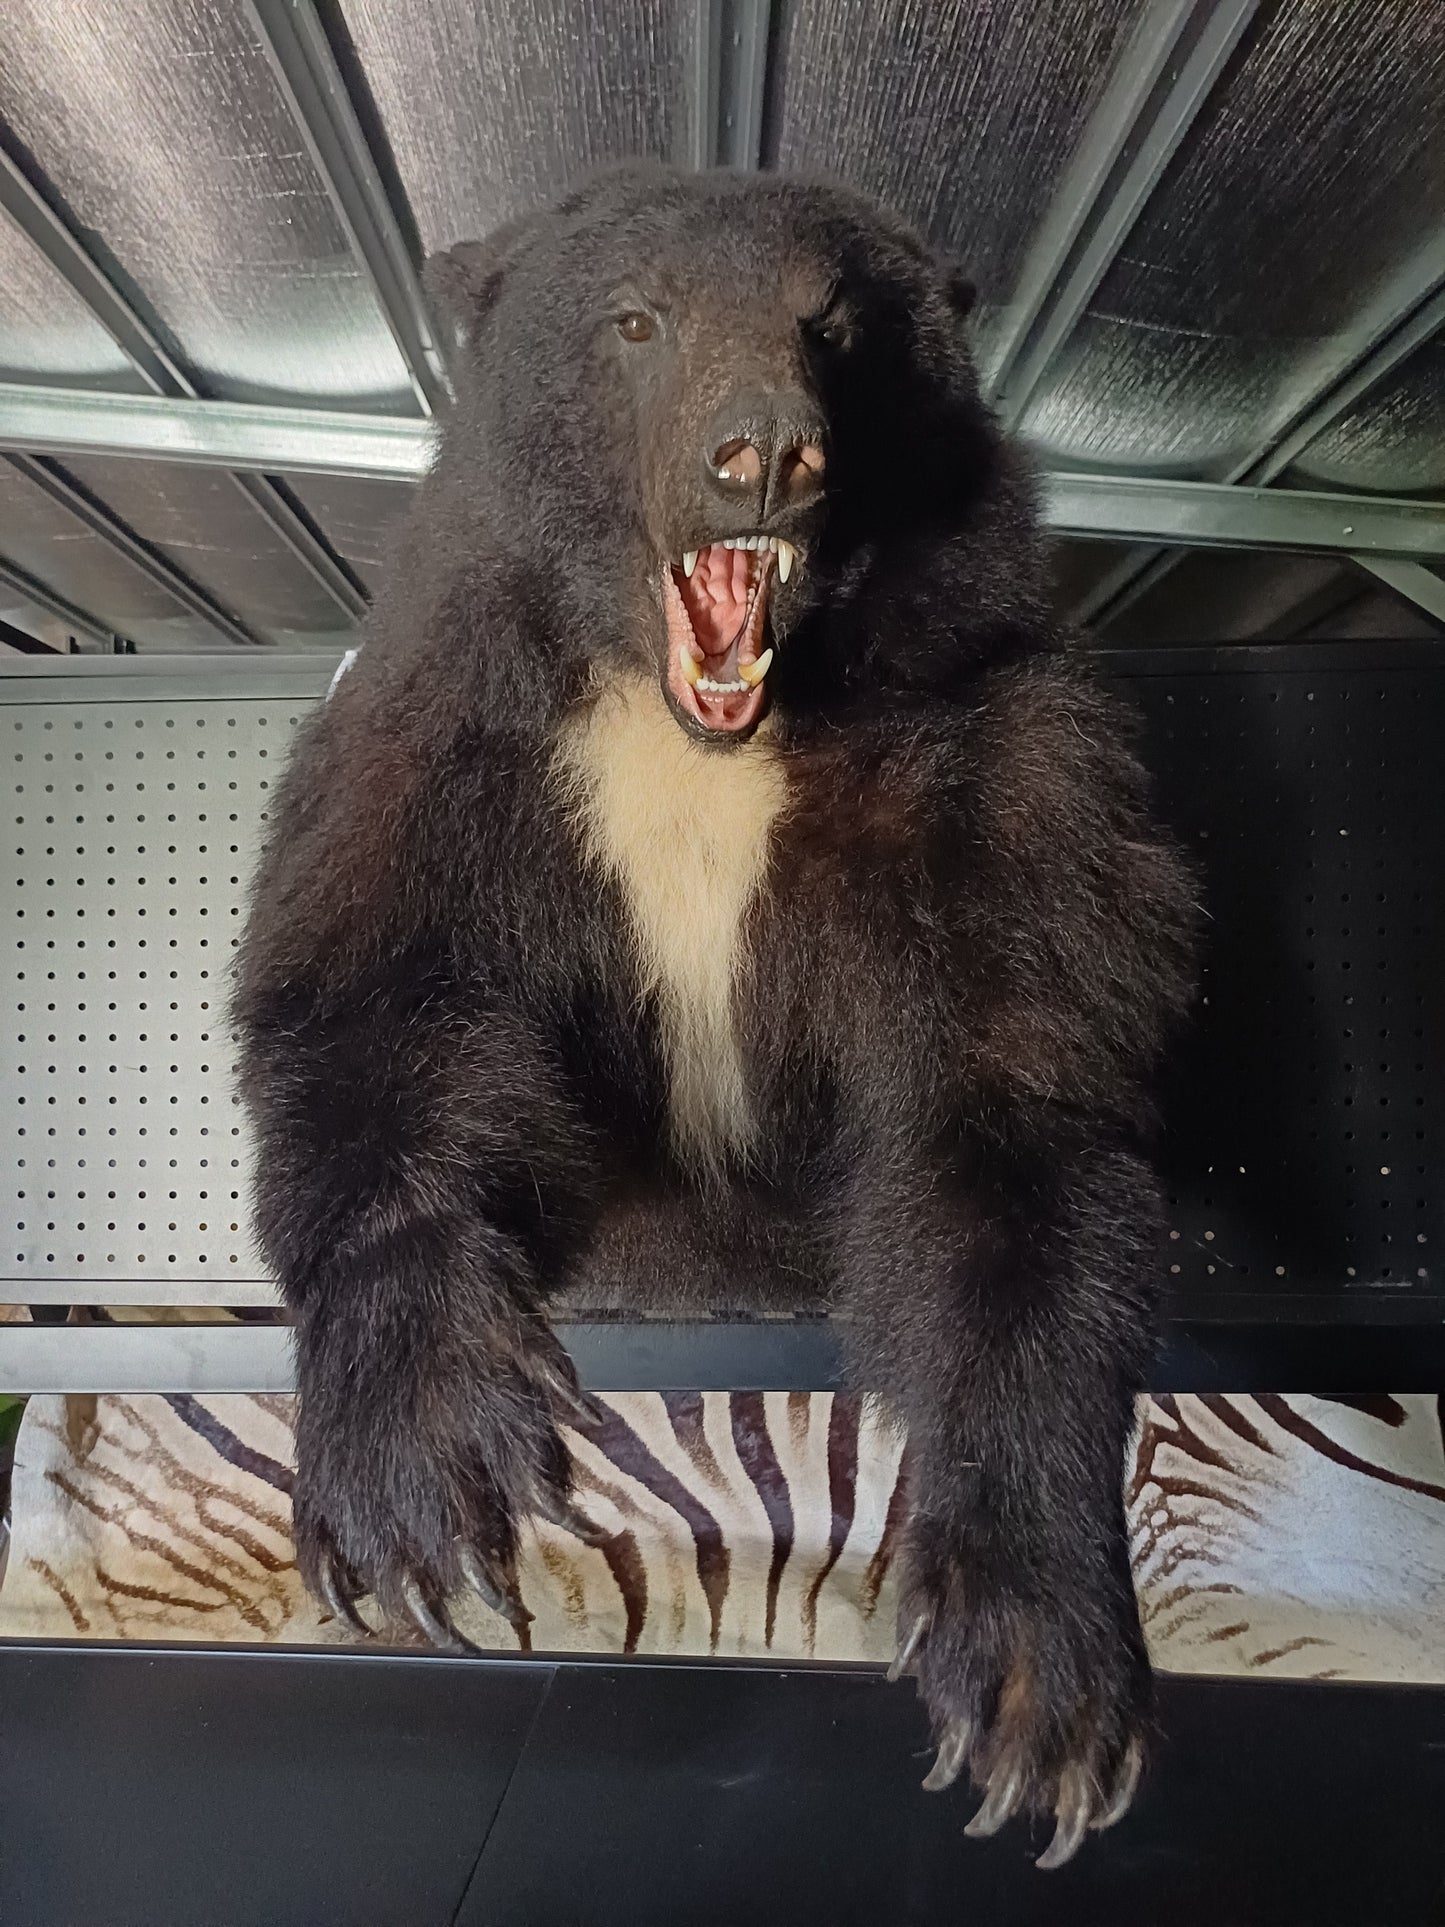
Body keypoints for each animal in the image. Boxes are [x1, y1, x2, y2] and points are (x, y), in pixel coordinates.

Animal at [234, 163, 1196, 1870]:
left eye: (833, 326)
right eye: (637, 321)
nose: (761, 448)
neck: (699, 730)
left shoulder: (993, 759)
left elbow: (1010, 1098)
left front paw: (1034, 1680)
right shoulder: (448, 727)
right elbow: (374, 982)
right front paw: (423, 1478)